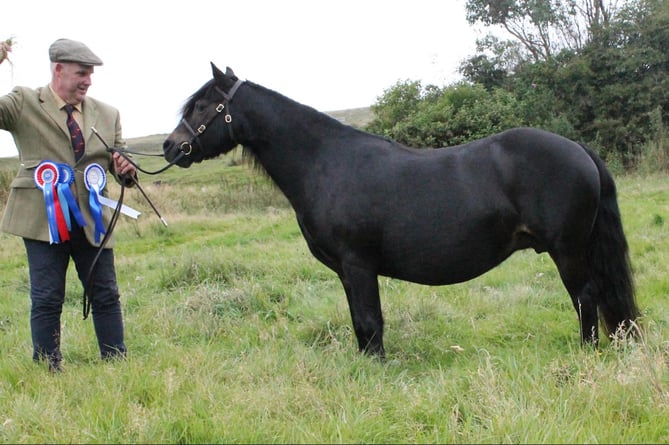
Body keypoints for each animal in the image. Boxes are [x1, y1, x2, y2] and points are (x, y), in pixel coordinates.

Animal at [162, 62, 636, 356]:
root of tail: (578, 149)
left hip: (567, 250)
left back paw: (586, 353)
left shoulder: (358, 265)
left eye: (203, 105)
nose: (170, 146)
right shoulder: (348, 273)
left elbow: (371, 322)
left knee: (585, 298)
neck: (325, 162)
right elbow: (360, 323)